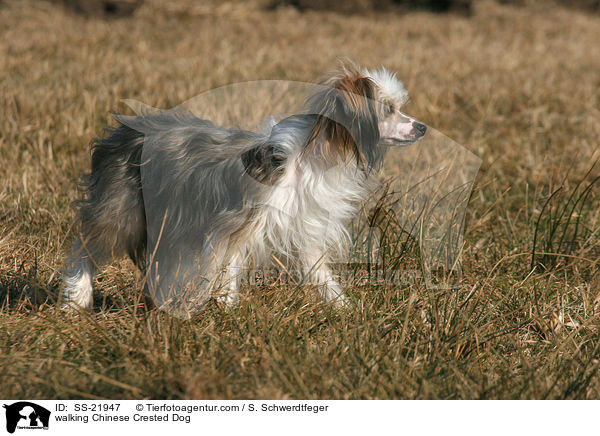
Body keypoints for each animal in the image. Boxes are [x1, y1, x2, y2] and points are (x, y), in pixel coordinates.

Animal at [62, 63, 426, 312]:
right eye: (389, 109)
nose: (422, 127)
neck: (310, 159)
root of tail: (121, 131)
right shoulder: (237, 223)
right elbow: (230, 266)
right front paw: (227, 305)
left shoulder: (303, 228)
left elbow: (319, 272)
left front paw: (341, 307)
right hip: (122, 211)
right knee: (84, 248)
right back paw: (77, 299)